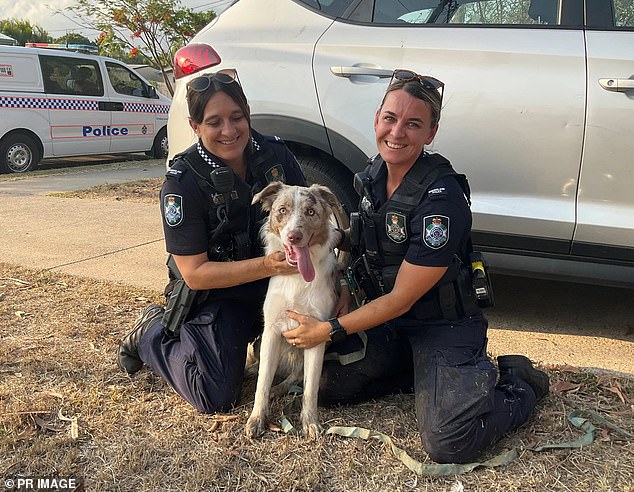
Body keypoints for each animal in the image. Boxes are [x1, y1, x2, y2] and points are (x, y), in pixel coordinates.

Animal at [244, 180, 340, 438]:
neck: (297, 277)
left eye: (311, 212)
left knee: (296, 375)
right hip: (259, 342)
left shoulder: (316, 334)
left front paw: (310, 423)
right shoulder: (271, 330)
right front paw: (257, 419)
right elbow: (262, 382)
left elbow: (310, 388)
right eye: (282, 210)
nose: (294, 236)